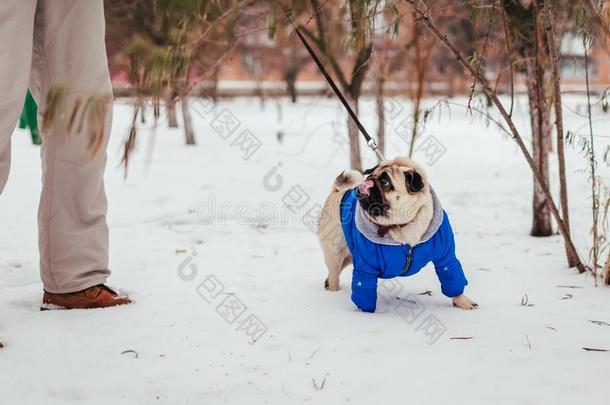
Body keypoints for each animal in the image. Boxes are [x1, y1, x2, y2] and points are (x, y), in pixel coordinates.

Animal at [318, 156, 476, 310]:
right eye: (370, 175)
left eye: (385, 182)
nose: (369, 181)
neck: (400, 225)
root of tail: (338, 191)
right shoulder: (365, 266)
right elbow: (363, 287)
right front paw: (365, 313)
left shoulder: (446, 257)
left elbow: (451, 276)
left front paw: (463, 302)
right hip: (335, 254)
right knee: (334, 275)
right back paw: (333, 291)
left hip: (349, 256)